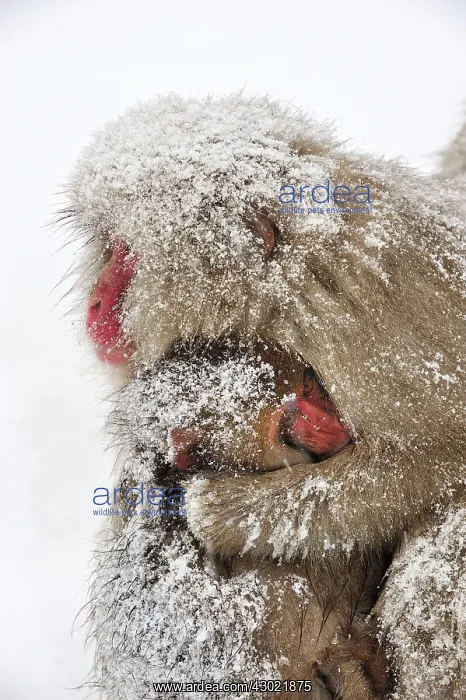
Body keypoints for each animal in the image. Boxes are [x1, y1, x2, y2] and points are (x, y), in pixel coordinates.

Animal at [64, 94, 466, 699]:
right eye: (109, 250)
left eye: (124, 255)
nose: (95, 305)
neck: (284, 293)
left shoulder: (366, 330)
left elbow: (436, 458)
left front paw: (222, 511)